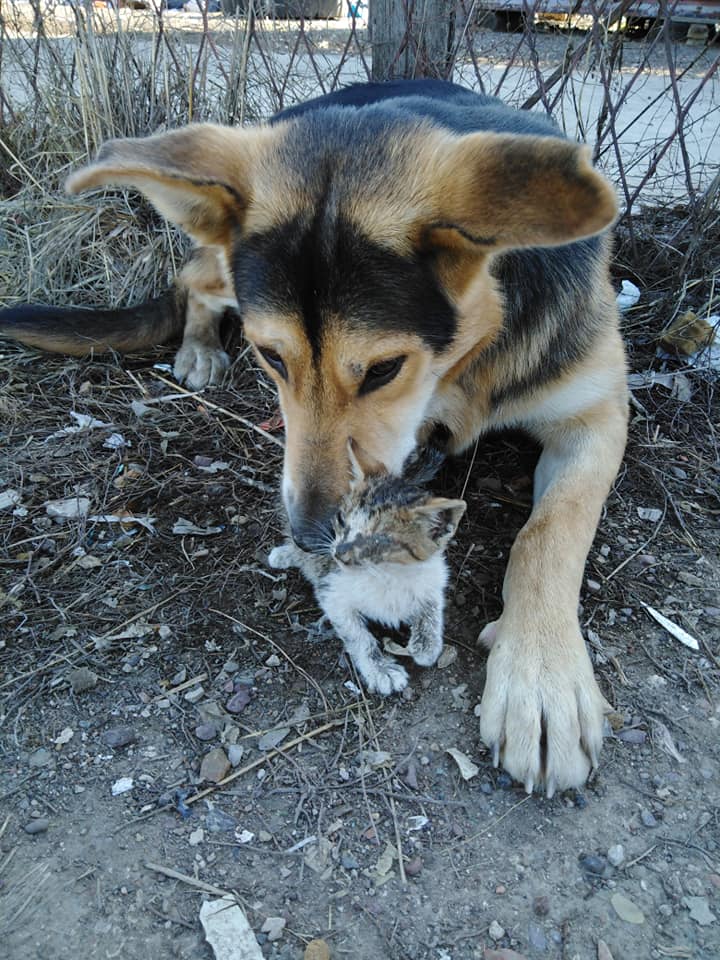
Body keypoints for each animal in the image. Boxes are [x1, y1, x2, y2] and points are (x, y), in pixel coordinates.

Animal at [268, 454, 464, 692]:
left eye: (378, 539)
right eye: (341, 519)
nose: (339, 553)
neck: (387, 574)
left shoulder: (434, 577)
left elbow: (432, 607)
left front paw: (427, 645)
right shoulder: (331, 590)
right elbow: (358, 636)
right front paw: (380, 670)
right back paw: (284, 555)